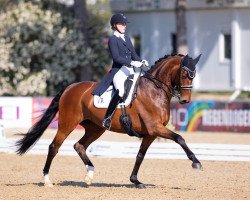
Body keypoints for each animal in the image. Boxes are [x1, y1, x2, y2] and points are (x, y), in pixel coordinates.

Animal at [15, 54, 202, 188]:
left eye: (193, 76)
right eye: (184, 74)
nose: (185, 100)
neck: (154, 90)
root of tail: (70, 87)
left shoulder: (151, 133)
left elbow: (140, 155)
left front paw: (135, 180)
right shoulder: (155, 128)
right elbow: (179, 138)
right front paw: (196, 162)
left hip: (96, 128)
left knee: (79, 146)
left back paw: (89, 175)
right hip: (67, 124)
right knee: (54, 147)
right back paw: (47, 180)